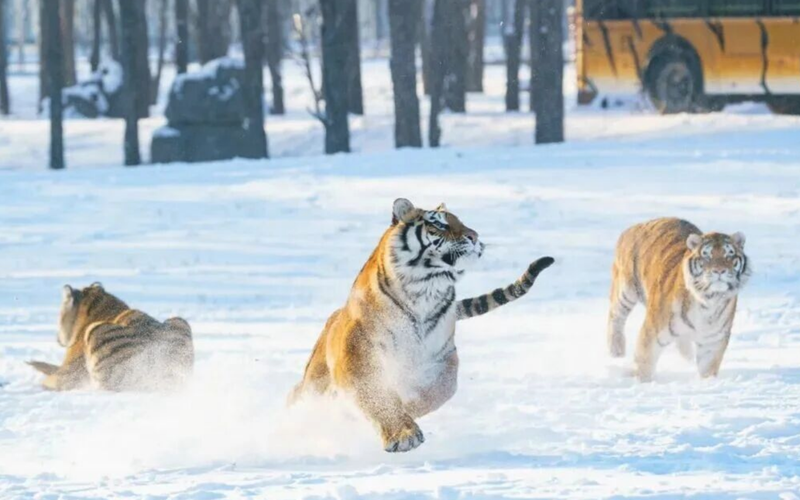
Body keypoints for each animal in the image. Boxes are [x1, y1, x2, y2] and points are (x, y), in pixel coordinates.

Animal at [288, 198, 554, 453]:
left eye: (460, 220)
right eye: (439, 224)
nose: (475, 236)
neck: (427, 290)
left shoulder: (442, 357)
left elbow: (436, 391)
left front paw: (407, 408)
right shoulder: (357, 355)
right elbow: (377, 397)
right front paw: (403, 435)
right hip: (313, 382)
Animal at [607, 218, 750, 382]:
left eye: (730, 255)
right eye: (706, 255)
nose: (719, 271)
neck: (708, 302)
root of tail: (635, 226)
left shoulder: (712, 343)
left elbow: (708, 370)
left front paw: (707, 382)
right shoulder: (652, 333)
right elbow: (644, 363)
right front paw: (642, 382)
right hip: (625, 291)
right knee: (615, 317)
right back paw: (616, 353)